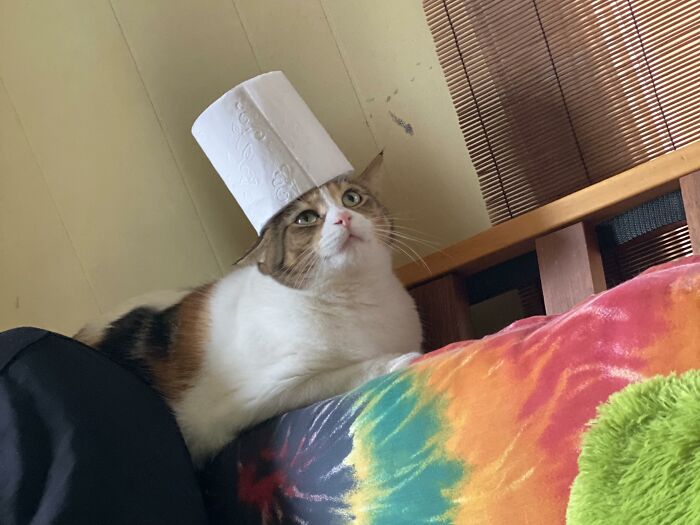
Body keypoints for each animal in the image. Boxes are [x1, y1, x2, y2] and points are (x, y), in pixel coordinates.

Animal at [78, 154, 426, 464]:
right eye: (306, 218)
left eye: (352, 198)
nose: (344, 218)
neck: (357, 297)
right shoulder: (264, 395)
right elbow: (347, 373)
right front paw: (398, 361)